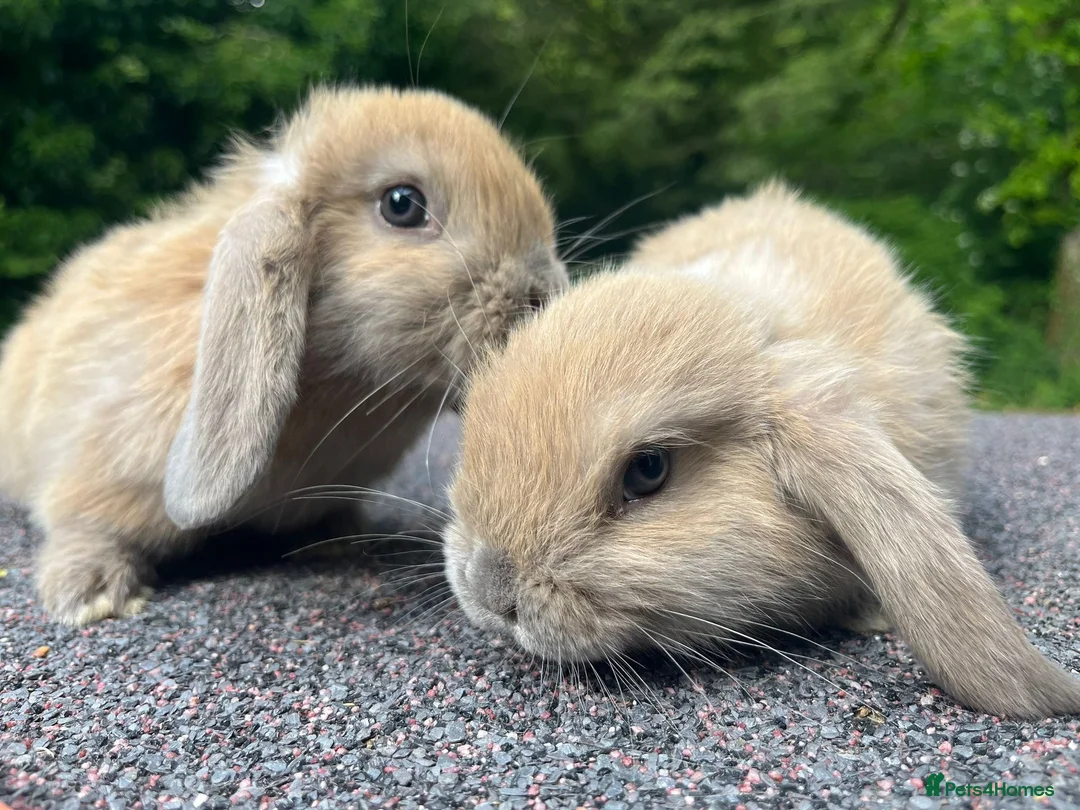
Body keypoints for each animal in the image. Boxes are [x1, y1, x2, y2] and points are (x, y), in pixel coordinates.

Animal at [0, 84, 568, 627]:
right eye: (402, 204)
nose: (544, 294)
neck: (346, 390)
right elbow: (84, 524)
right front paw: (91, 597)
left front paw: (339, 539)